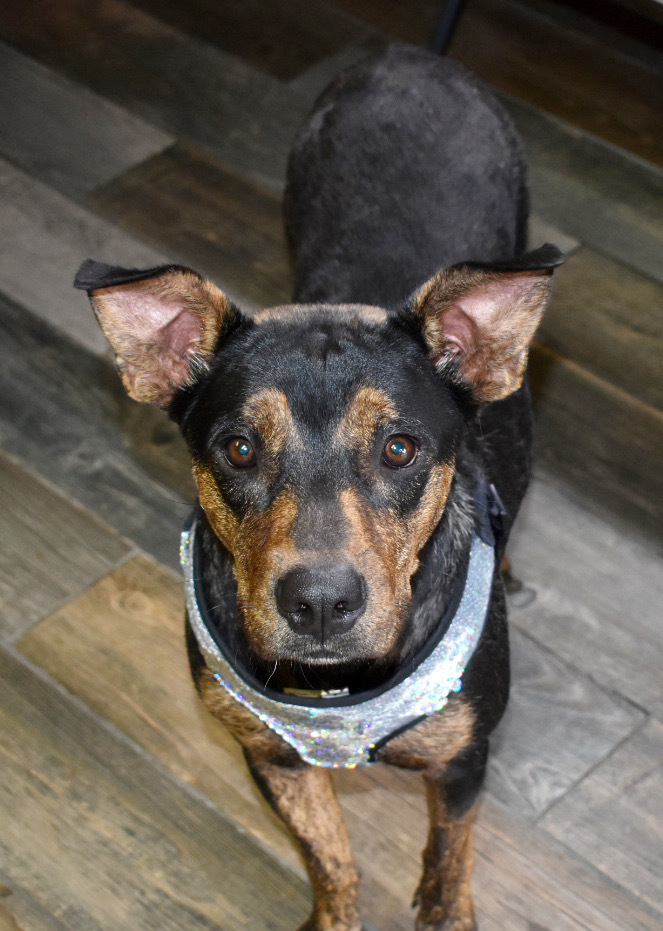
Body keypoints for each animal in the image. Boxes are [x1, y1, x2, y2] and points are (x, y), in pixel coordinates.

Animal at [76, 47, 564, 931]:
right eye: (237, 448)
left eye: (400, 448)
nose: (320, 603)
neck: (338, 695)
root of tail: (407, 54)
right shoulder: (270, 756)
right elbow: (328, 855)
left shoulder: (462, 759)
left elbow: (449, 853)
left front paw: (444, 909)